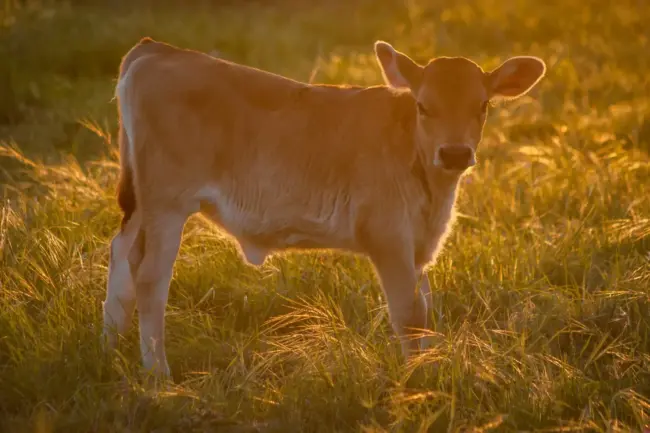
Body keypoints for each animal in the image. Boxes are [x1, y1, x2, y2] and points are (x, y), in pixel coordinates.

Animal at [103, 37, 546, 377]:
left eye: (483, 105)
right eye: (423, 105)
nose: (454, 153)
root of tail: (158, 50)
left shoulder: (418, 247)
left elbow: (425, 311)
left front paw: (429, 369)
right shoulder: (387, 237)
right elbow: (409, 315)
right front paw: (418, 383)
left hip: (141, 204)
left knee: (122, 256)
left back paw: (109, 346)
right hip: (167, 203)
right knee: (150, 277)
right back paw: (158, 374)